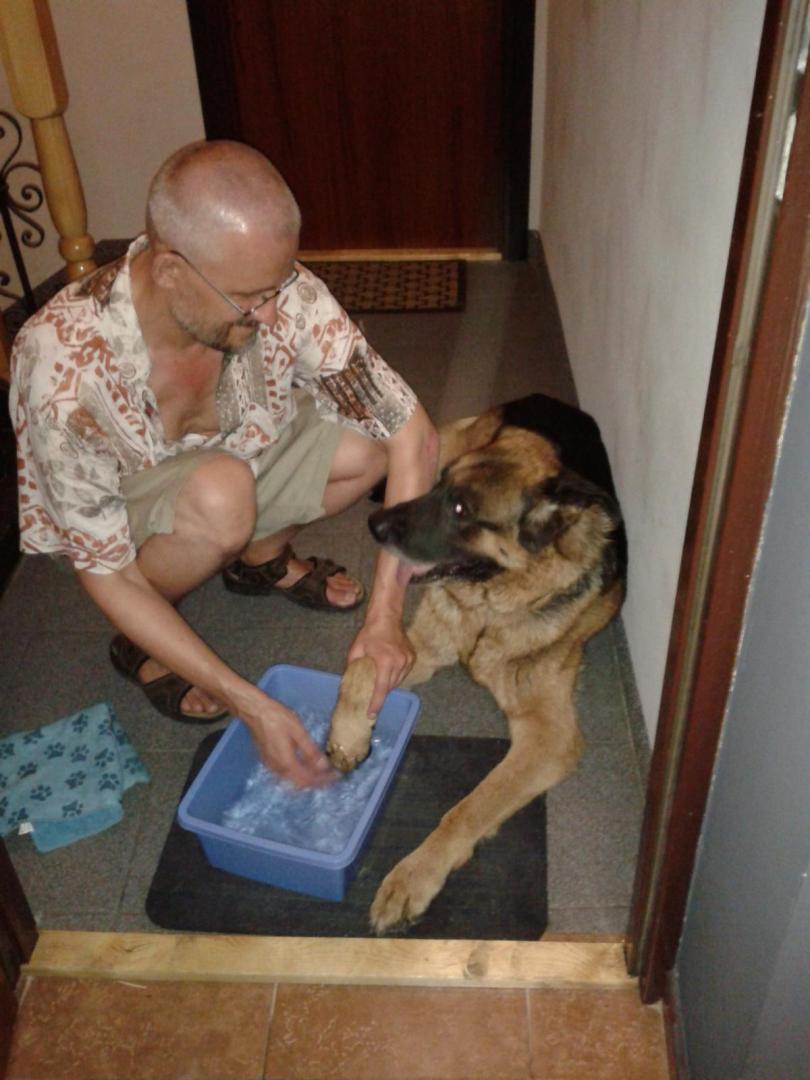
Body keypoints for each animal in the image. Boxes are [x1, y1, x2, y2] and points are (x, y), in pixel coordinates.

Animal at [326, 393, 627, 934]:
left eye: (462, 508)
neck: (490, 606)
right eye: (441, 486)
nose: (375, 527)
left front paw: (414, 875)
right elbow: (362, 668)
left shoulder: (549, 738)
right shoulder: (417, 647)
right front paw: (348, 735)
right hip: (444, 439)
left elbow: (468, 809)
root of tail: (547, 399)